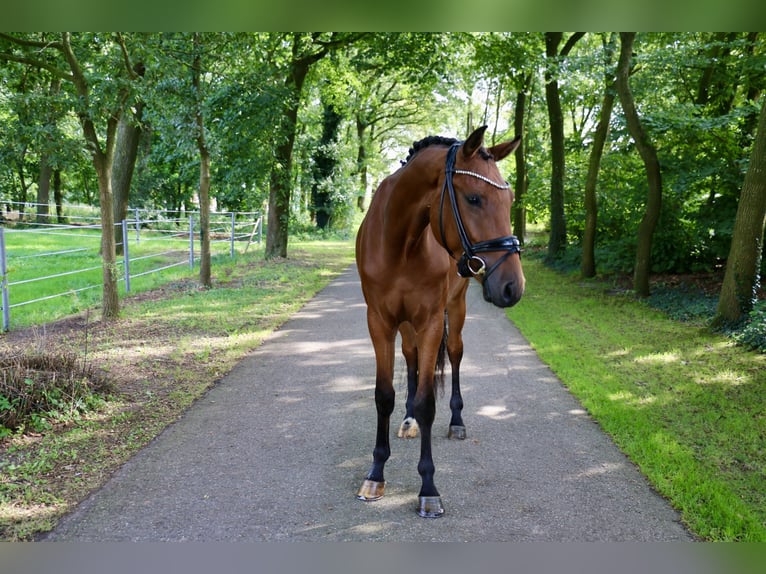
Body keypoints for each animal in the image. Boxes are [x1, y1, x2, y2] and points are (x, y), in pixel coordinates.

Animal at [356, 125, 524, 516]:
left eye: (510, 201)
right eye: (474, 199)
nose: (513, 287)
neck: (400, 242)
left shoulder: (432, 321)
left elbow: (427, 402)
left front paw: (428, 488)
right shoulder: (379, 322)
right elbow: (384, 395)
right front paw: (375, 473)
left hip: (455, 309)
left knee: (457, 354)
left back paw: (457, 421)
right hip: (406, 326)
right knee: (412, 358)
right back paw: (407, 420)